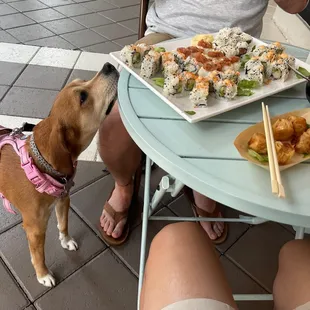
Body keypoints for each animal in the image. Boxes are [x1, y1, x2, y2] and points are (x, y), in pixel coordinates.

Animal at [0, 61, 118, 286]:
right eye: (83, 97)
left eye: (82, 80)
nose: (108, 65)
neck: (41, 166)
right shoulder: (35, 229)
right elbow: (39, 256)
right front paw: (43, 275)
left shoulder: (63, 201)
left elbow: (63, 225)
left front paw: (66, 240)